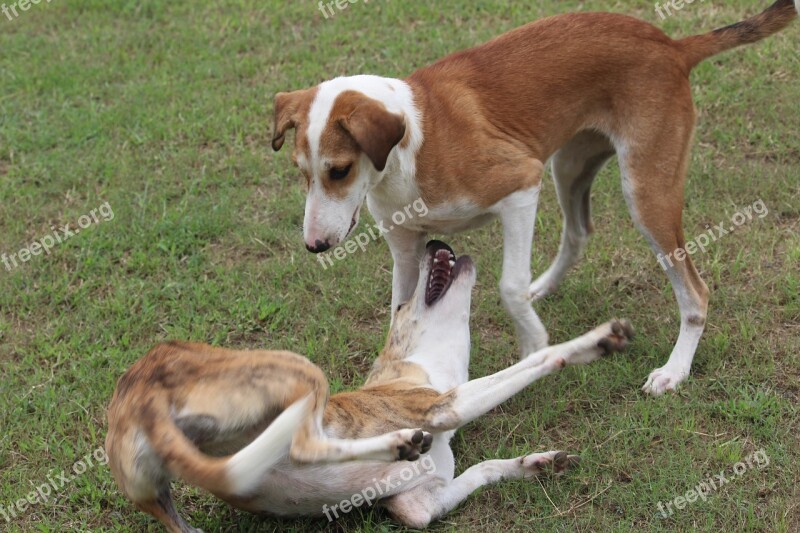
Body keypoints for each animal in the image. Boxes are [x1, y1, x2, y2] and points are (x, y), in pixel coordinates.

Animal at [106, 242, 636, 532]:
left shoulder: (418, 507)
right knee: (304, 445)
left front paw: (535, 464)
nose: (434, 242)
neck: (413, 368)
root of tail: (142, 393)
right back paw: (397, 443)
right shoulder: (441, 407)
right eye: (400, 306)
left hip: (157, 494)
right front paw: (592, 342)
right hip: (302, 374)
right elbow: (539, 359)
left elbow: (481, 470)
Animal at [272, 1, 796, 394]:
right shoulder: (405, 247)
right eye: (301, 172)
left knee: (695, 291)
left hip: (645, 192)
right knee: (580, 232)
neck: (411, 144)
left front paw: (533, 349)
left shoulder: (520, 185)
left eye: (339, 170)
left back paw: (675, 369)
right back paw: (545, 285)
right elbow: (401, 311)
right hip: (570, 165)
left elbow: (508, 285)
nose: (315, 246)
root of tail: (673, 46)